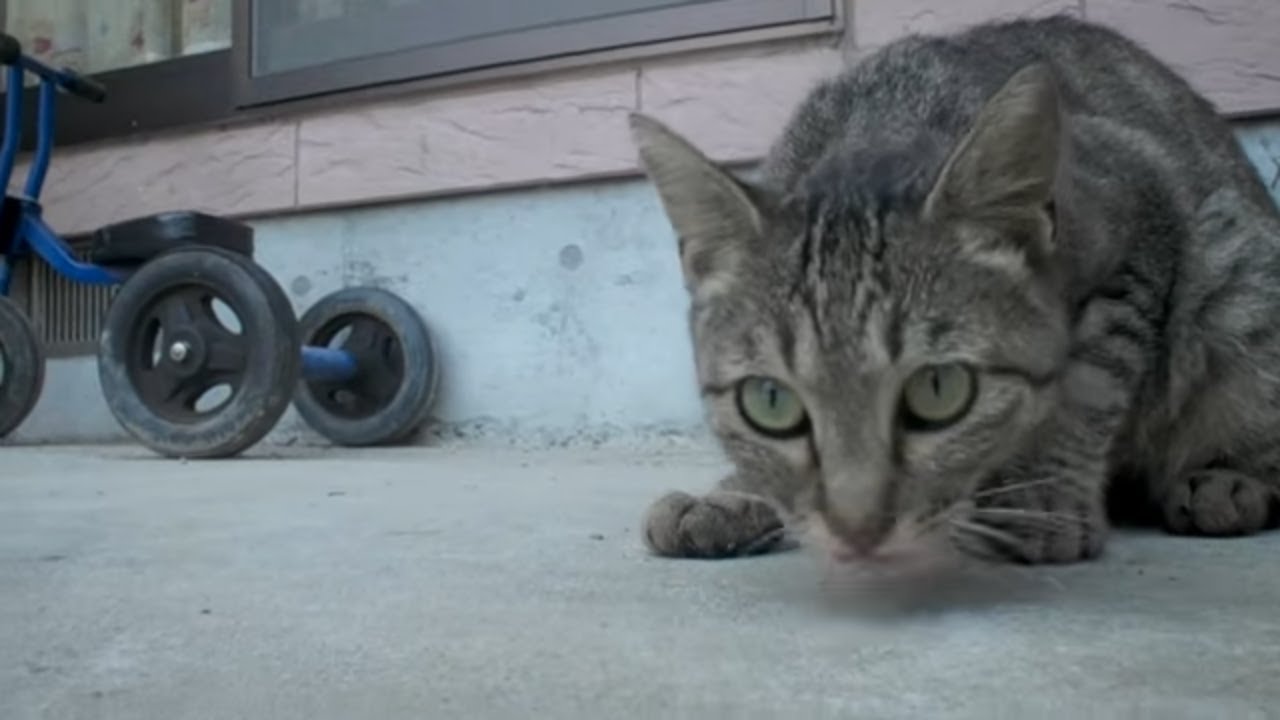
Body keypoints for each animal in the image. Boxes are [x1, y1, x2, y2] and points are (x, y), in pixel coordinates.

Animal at [627, 12, 1280, 566]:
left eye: (937, 388)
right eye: (771, 400)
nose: (857, 526)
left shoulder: (1139, 215)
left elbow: (1084, 387)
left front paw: (1046, 499)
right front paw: (735, 494)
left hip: (1238, 281)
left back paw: (1228, 482)